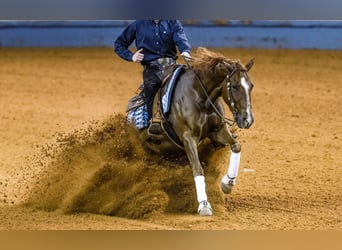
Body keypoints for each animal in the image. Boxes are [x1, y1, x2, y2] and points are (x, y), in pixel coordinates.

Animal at [127, 47, 252, 216]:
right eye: (235, 86)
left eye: (251, 86)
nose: (248, 120)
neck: (200, 96)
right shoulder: (188, 138)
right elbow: (198, 168)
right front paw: (204, 205)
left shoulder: (218, 131)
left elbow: (236, 146)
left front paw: (228, 183)